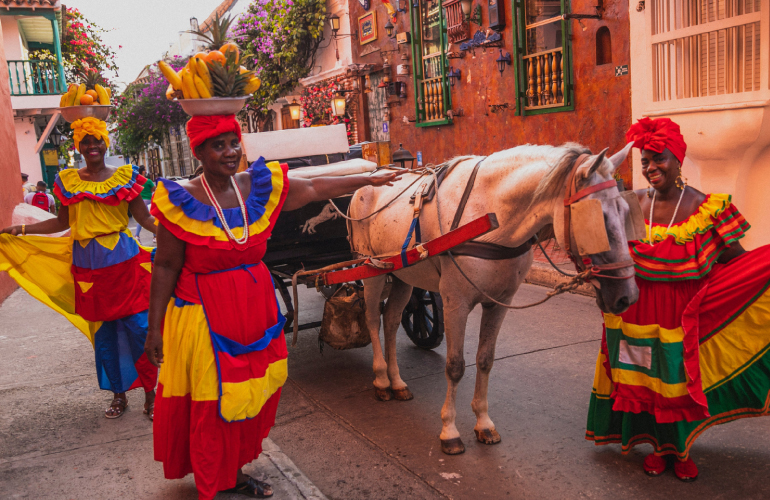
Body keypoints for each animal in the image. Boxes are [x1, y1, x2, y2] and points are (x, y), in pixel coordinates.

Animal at [348, 143, 636, 456]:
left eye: (625, 211)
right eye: (598, 217)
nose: (628, 296)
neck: (491, 215)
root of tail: (367, 179)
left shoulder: (498, 303)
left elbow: (485, 359)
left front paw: (483, 423)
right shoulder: (455, 303)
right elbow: (455, 366)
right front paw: (449, 430)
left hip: (402, 275)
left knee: (390, 321)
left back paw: (397, 381)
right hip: (371, 269)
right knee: (373, 320)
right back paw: (381, 379)